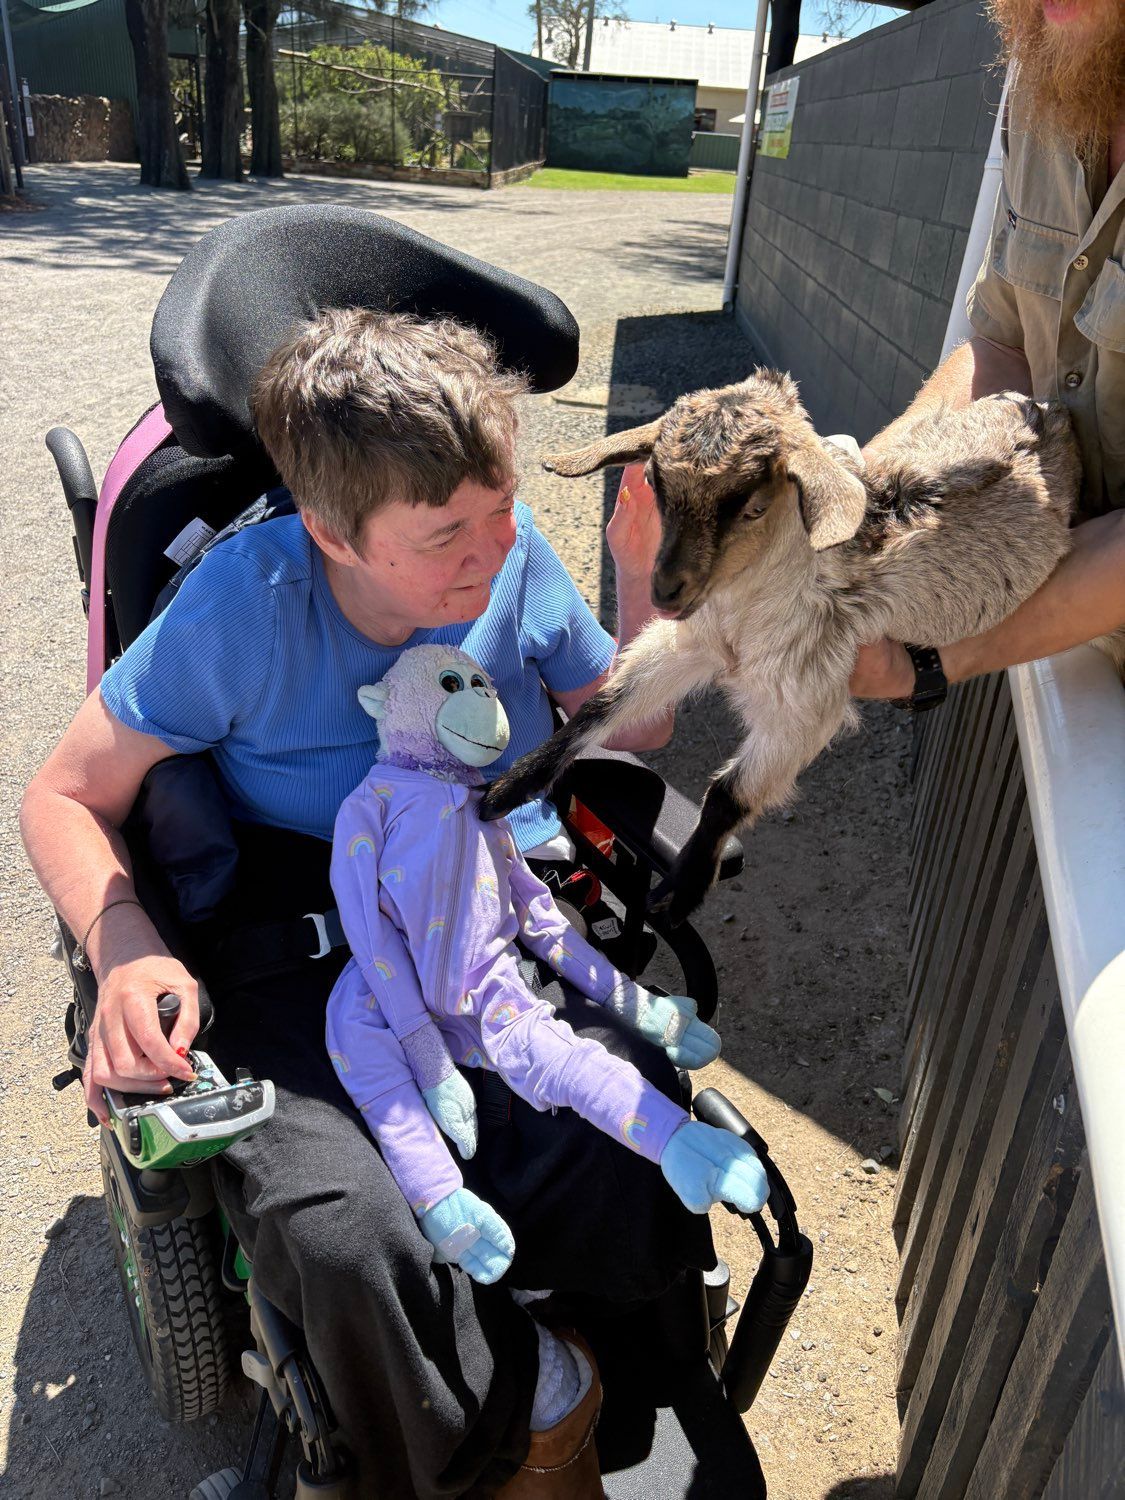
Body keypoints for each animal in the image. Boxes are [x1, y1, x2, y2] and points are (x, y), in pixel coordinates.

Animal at [478, 371, 1085, 926]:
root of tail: (1044, 407)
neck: (748, 609)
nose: (666, 589)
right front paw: (508, 788)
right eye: (654, 482)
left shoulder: (806, 699)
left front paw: (680, 894)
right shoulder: (693, 641)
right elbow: (604, 705)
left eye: (751, 507)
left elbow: (728, 794)